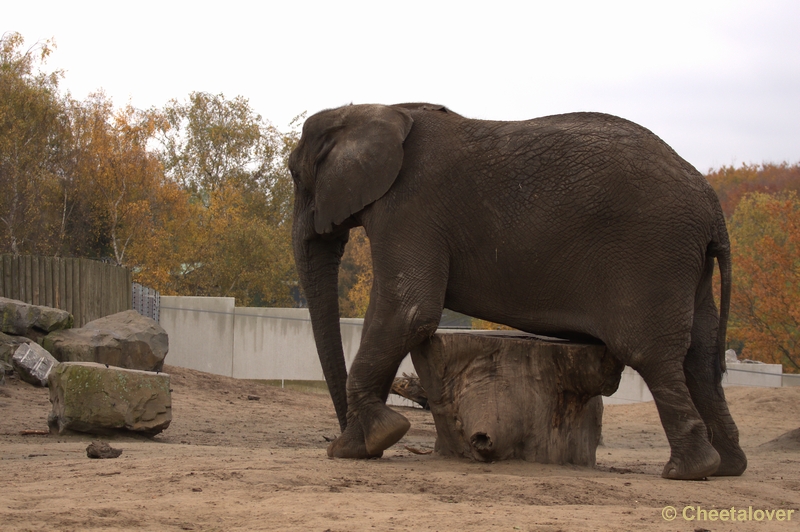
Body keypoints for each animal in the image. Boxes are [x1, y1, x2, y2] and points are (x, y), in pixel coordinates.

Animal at [290, 104, 748, 482]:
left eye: (295, 175)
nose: (341, 438)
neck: (376, 109)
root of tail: (713, 206)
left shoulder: (409, 209)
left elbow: (409, 312)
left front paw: (369, 441)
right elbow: (392, 315)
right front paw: (361, 446)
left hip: (655, 252)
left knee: (651, 353)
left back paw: (687, 471)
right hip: (687, 264)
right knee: (701, 357)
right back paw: (726, 468)